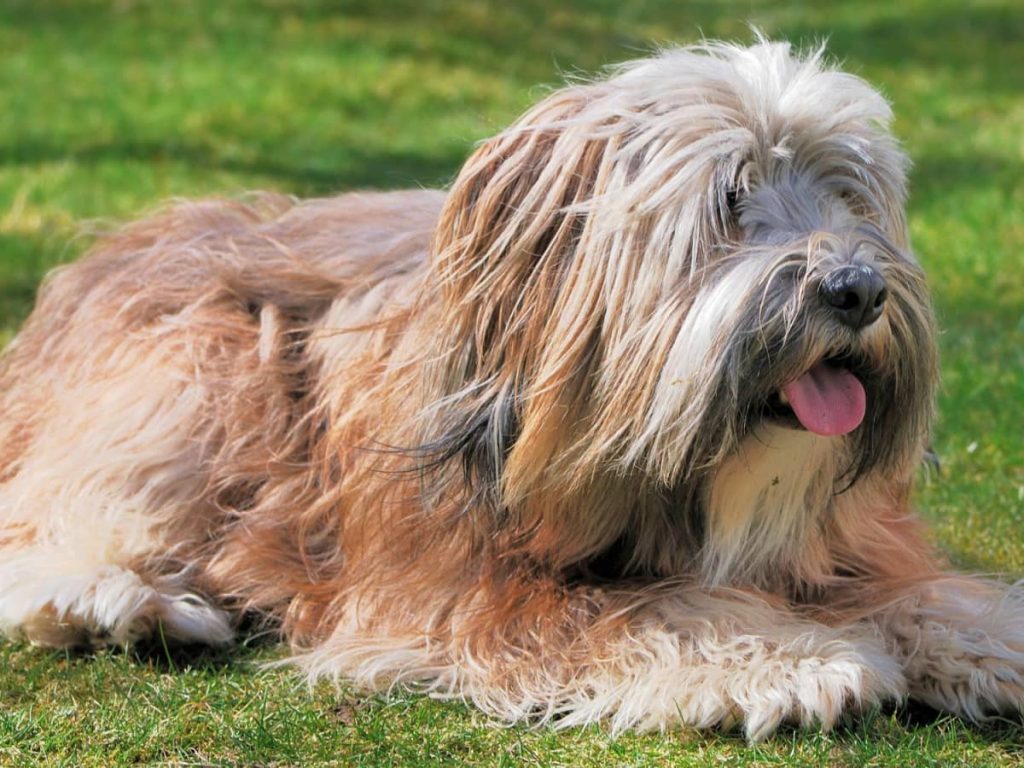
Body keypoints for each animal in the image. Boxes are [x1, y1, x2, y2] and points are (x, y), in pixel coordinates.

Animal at [2, 37, 1024, 741]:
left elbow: (911, 588)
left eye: (848, 196)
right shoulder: (462, 587)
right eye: (730, 201)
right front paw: (790, 658)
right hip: (198, 376)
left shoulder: (851, 543)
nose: (858, 290)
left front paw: (984, 633)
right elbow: (624, 609)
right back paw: (121, 603)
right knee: (58, 518)